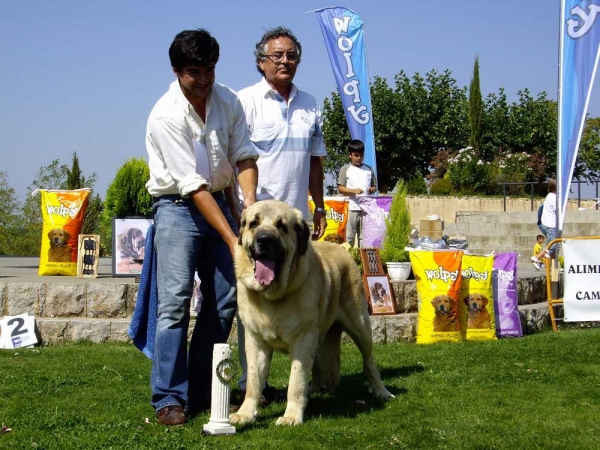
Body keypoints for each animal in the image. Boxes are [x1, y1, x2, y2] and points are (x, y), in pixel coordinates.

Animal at [230, 200, 394, 426]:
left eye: (281, 226)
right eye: (253, 223)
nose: (264, 240)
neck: (273, 295)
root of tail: (343, 250)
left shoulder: (303, 339)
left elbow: (296, 381)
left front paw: (291, 416)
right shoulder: (256, 341)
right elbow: (254, 381)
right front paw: (245, 413)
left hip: (359, 326)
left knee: (369, 361)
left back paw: (380, 391)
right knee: (317, 364)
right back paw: (316, 388)